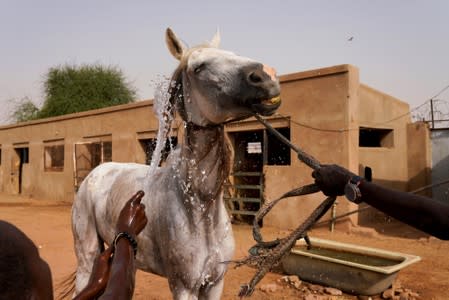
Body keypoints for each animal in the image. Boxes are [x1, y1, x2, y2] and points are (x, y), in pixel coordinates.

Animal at [72, 27, 280, 298]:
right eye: (198, 67)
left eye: (233, 54)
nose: (267, 76)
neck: (199, 209)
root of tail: (94, 173)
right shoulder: (183, 286)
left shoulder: (215, 283)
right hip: (86, 255)